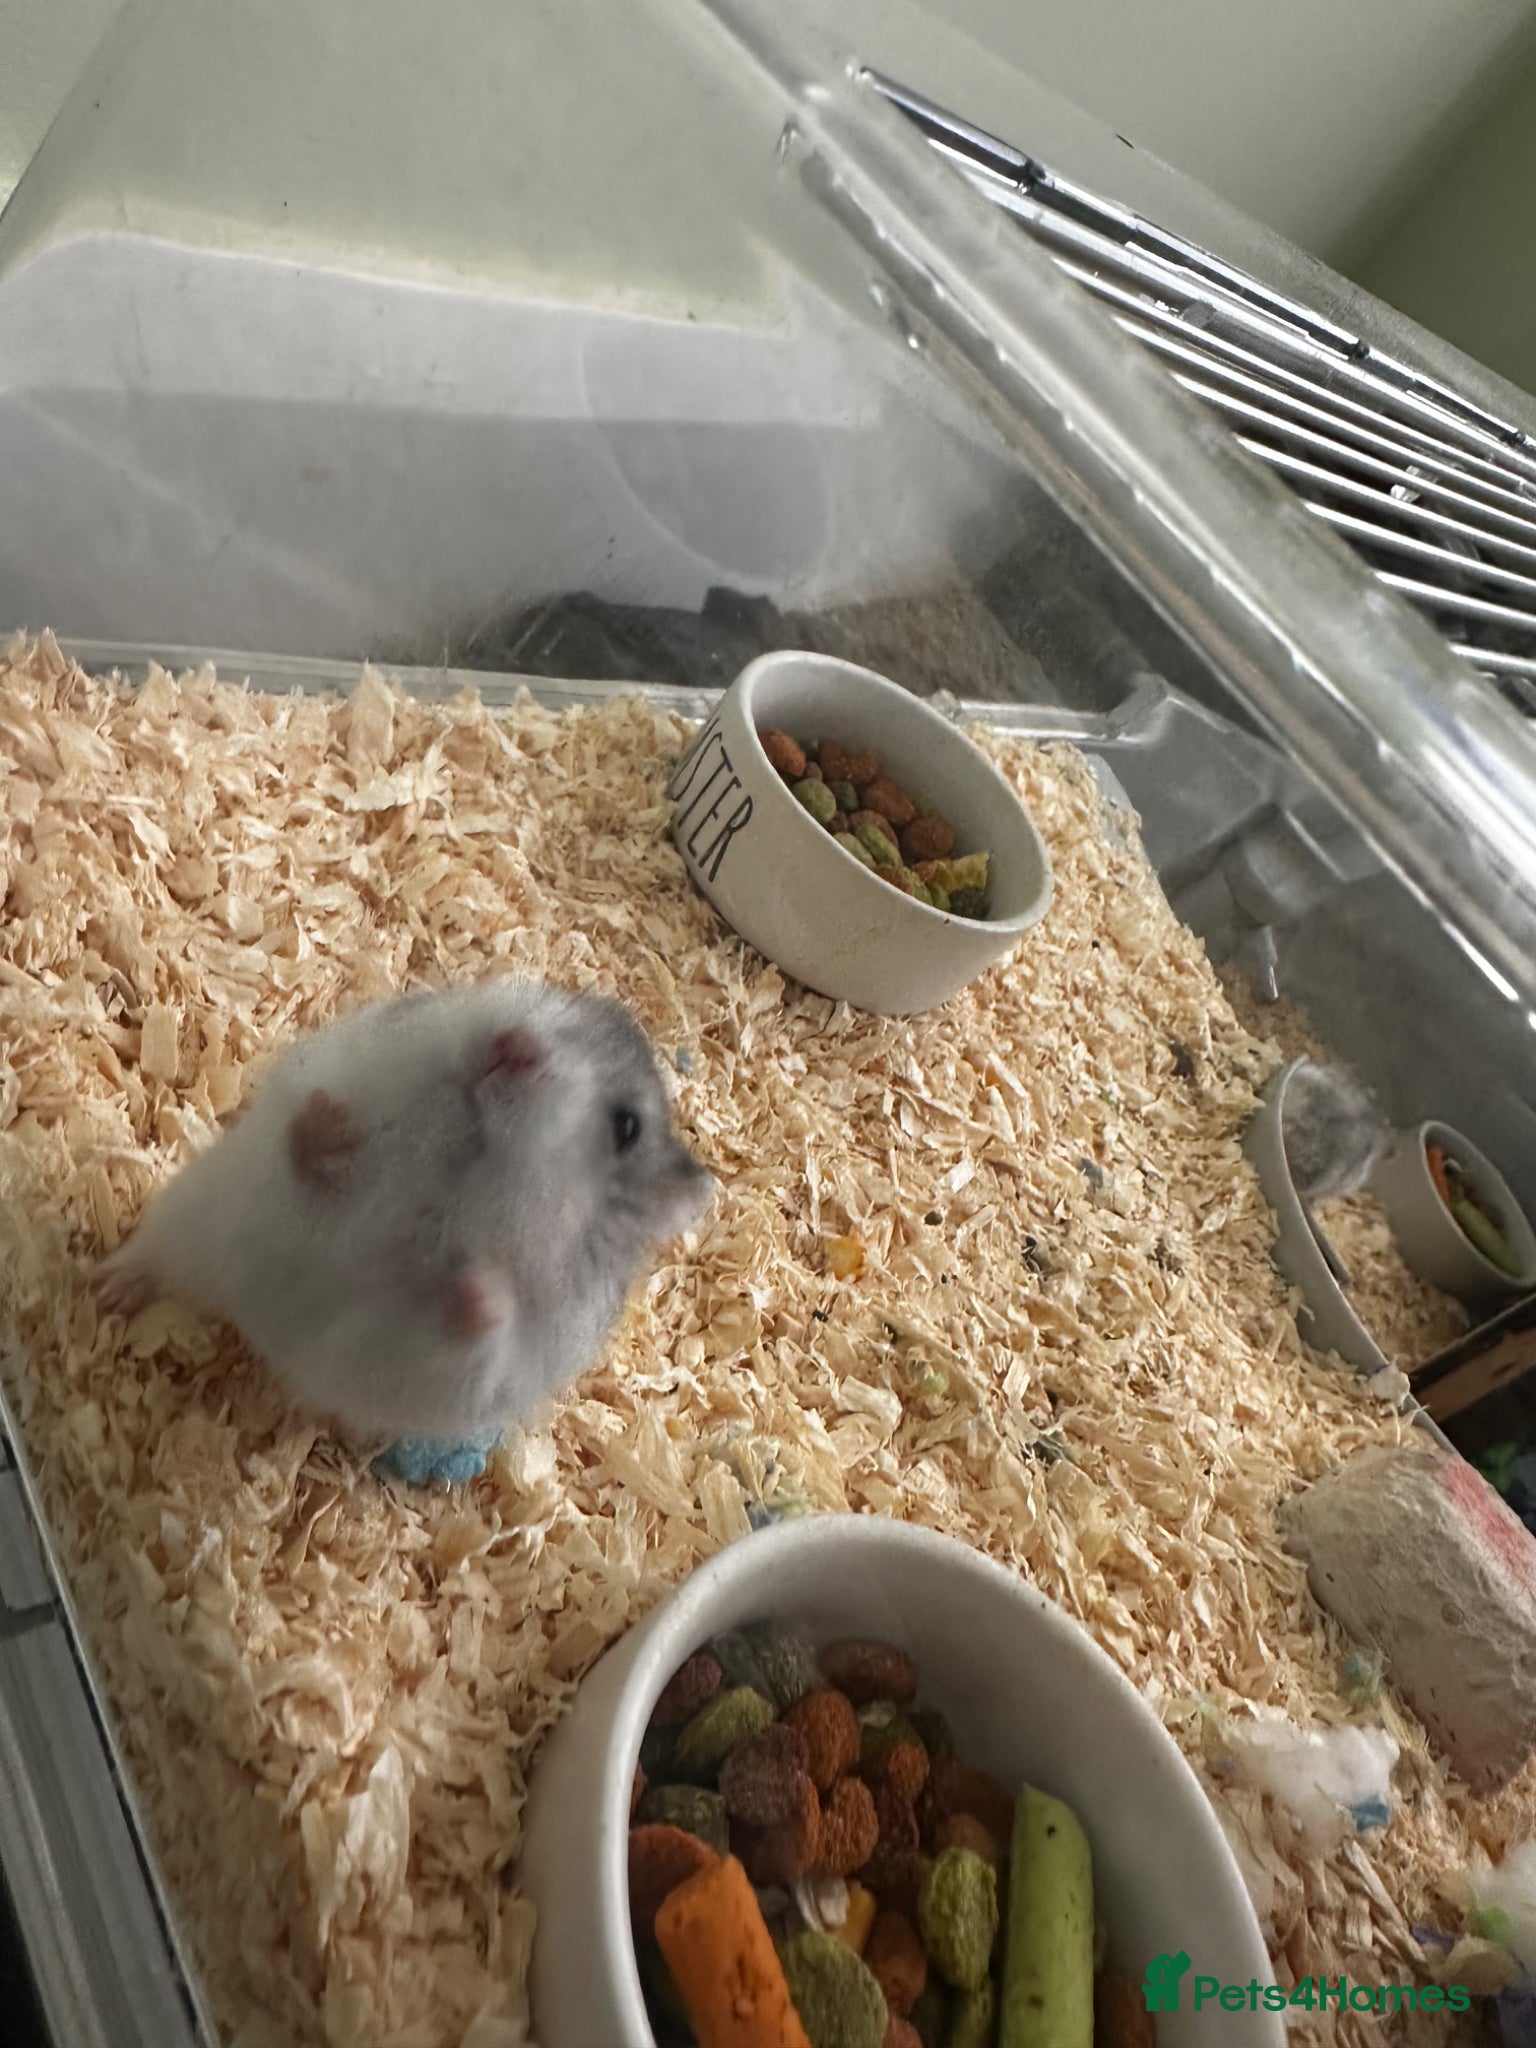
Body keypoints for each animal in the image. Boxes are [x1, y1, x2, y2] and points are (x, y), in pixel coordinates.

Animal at [95, 979, 716, 1443]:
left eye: (627, 1127)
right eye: (572, 1000)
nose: (513, 1043)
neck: (463, 1150)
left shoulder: (439, 1360)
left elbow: (472, 1327)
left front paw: (486, 1290)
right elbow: (306, 1141)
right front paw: (332, 1123)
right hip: (195, 1214)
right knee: (157, 1259)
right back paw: (108, 1289)